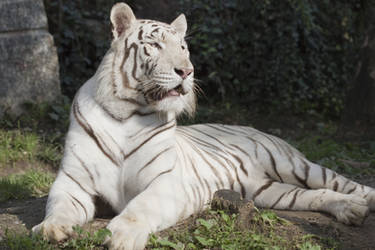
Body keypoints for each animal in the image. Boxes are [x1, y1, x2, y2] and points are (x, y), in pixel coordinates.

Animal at [32, 2, 375, 250]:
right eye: (155, 45)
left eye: (183, 48)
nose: (187, 71)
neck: (126, 111)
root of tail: (251, 127)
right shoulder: (72, 181)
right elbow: (58, 205)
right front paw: (50, 229)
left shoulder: (166, 182)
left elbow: (141, 206)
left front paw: (121, 235)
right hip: (266, 191)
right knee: (312, 195)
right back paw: (351, 210)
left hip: (292, 164)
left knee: (343, 182)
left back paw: (363, 202)